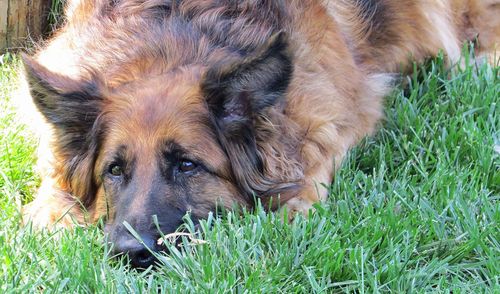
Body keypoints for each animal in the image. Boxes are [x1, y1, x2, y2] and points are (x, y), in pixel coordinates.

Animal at [21, 0, 498, 268]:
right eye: (114, 171)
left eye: (188, 165)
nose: (127, 252)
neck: (172, 40)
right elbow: (50, 213)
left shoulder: (333, 120)